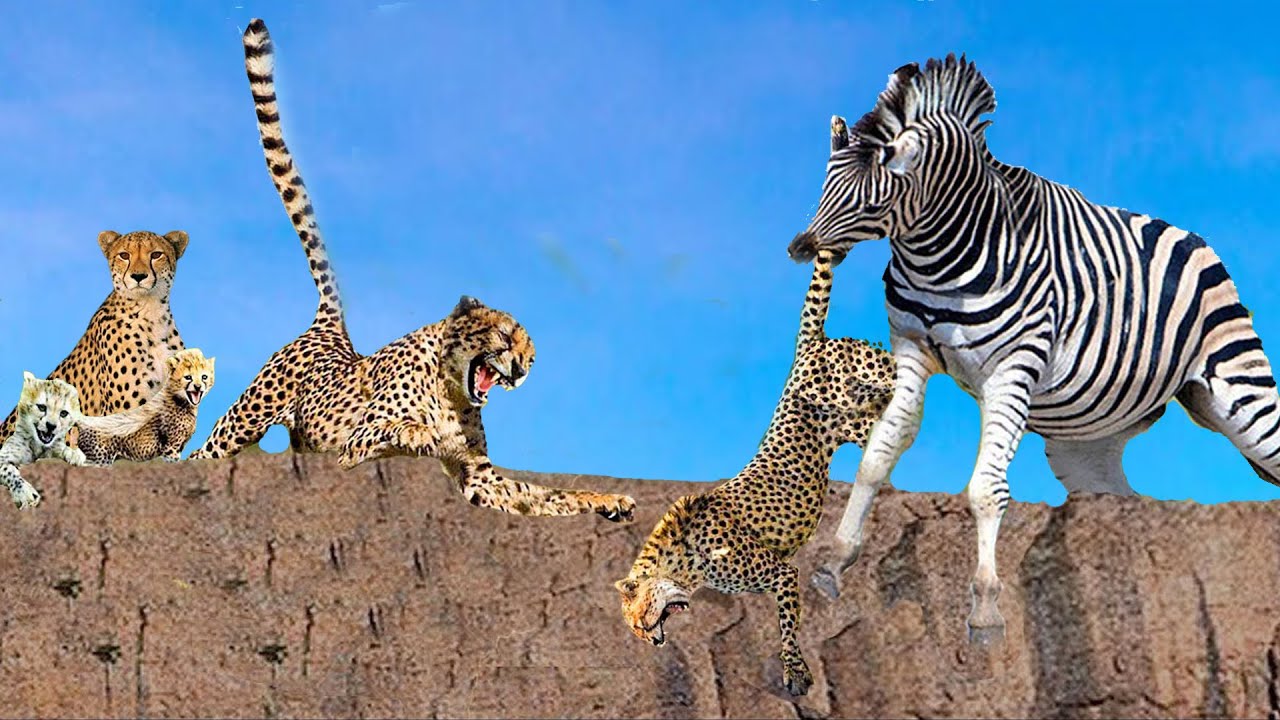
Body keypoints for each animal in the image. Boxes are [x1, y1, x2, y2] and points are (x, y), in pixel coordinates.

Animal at [1, 372, 87, 509]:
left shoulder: (51, 450)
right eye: (41, 407)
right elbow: (8, 470)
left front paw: (74, 454)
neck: (37, 445)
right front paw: (24, 492)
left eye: (63, 413)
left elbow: (60, 448)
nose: (51, 426)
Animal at [188, 18, 635, 524]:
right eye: (505, 338)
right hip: (244, 420)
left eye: (532, 357)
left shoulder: (478, 477)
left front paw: (605, 500)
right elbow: (392, 430)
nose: (519, 371)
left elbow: (543, 495)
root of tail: (330, 328)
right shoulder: (353, 446)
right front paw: (419, 433)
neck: (451, 386)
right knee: (204, 451)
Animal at [615, 243, 895, 696]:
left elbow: (787, 624)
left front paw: (795, 671)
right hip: (856, 423)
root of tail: (806, 349)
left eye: (640, 621)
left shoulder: (782, 572)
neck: (684, 563)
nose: (652, 641)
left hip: (862, 373)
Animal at [788, 54, 1280, 643]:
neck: (941, 254)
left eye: (875, 197)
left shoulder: (1012, 369)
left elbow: (986, 488)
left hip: (1238, 390)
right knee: (1124, 505)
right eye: (825, 181)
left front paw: (985, 609)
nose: (801, 249)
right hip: (1088, 440)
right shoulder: (911, 350)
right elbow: (878, 455)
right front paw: (834, 561)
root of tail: (1190, 236)